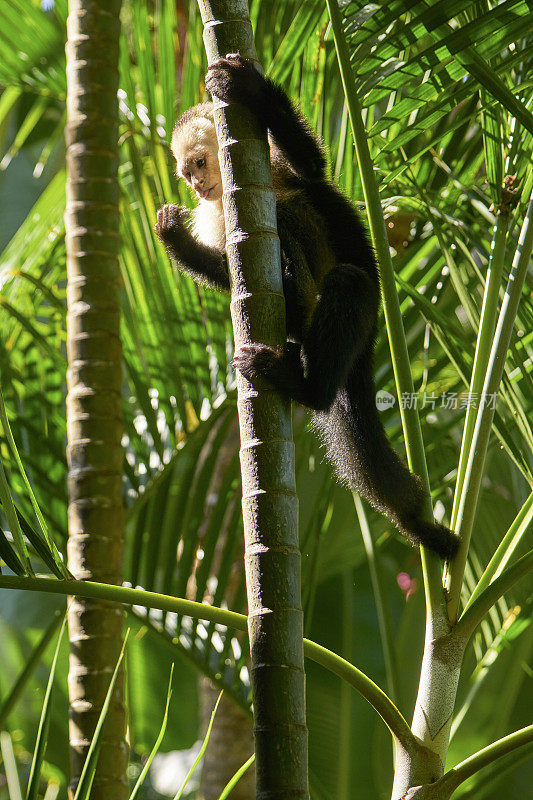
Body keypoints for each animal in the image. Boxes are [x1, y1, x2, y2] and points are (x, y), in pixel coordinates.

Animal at [155, 53, 458, 564]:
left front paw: (249, 89)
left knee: (325, 252)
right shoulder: (216, 213)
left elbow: (311, 169)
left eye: (197, 162)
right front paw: (174, 240)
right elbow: (229, 273)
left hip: (353, 319)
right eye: (185, 173)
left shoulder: (268, 164)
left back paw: (305, 382)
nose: (195, 185)